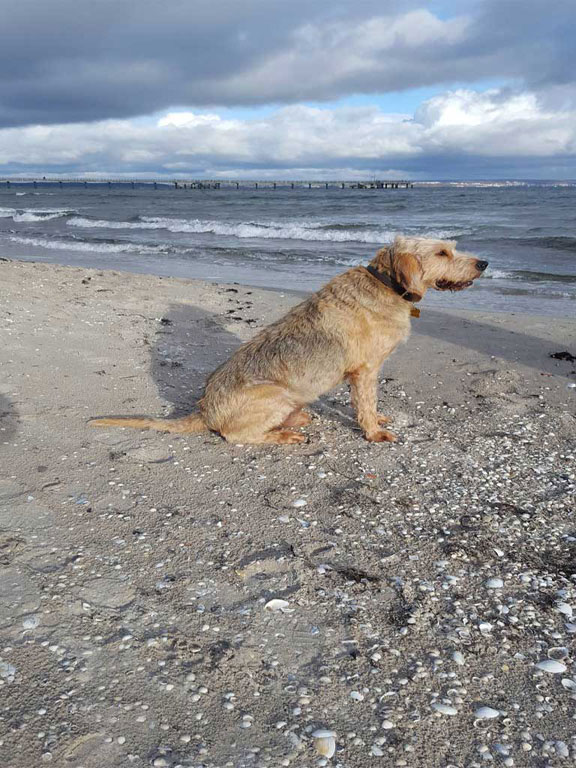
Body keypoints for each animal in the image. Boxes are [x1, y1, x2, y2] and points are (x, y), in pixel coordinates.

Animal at [90, 234, 486, 444]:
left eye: (451, 247)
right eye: (442, 252)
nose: (483, 263)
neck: (386, 284)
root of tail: (204, 410)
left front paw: (377, 420)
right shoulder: (365, 371)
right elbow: (365, 403)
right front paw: (373, 432)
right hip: (275, 395)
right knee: (238, 437)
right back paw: (281, 435)